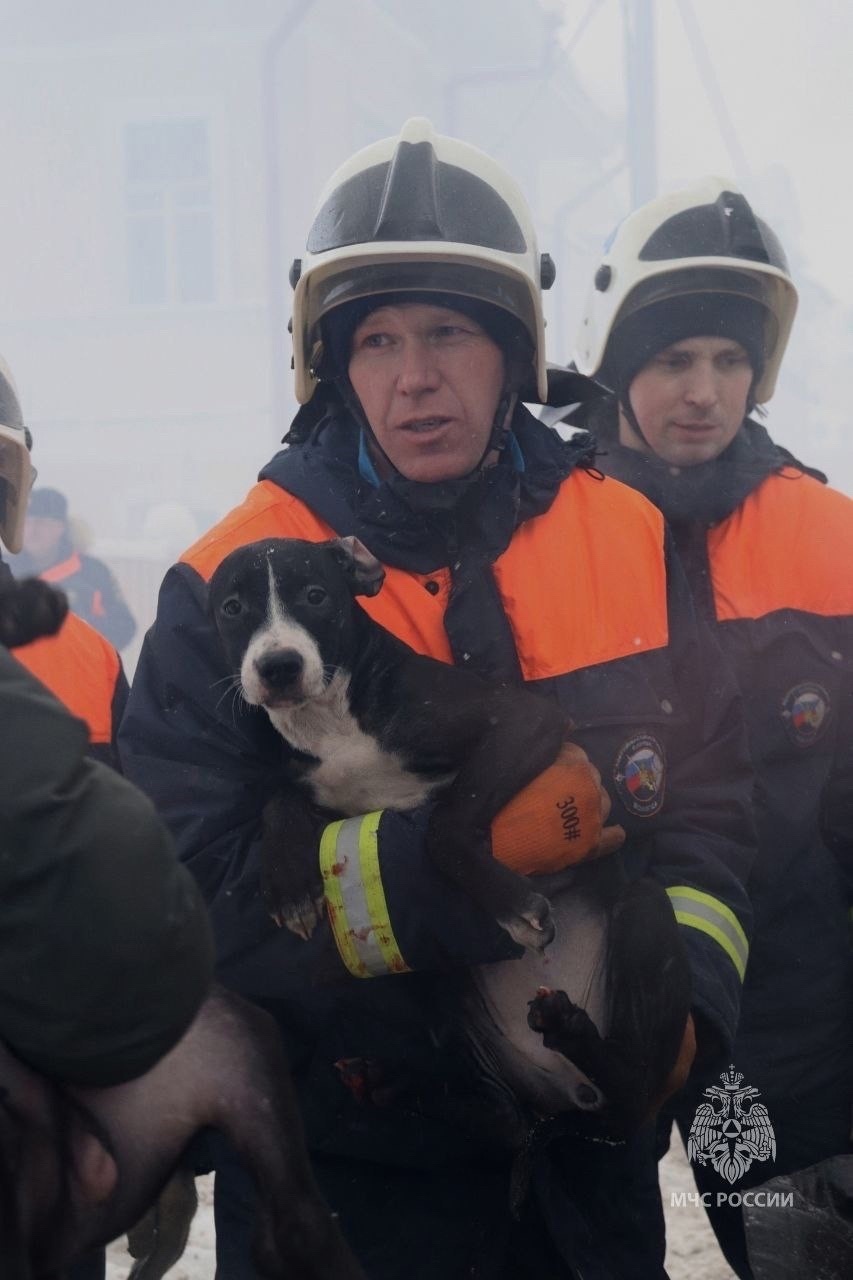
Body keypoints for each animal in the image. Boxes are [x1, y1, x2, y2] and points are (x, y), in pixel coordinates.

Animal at [208, 537, 686, 1141]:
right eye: (232, 608)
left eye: (316, 595)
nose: (279, 666)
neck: (332, 721)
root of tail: (559, 1094)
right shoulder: (310, 784)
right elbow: (278, 802)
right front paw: (288, 884)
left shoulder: (521, 721)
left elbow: (445, 825)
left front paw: (512, 905)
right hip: (419, 978)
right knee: (493, 1108)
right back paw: (394, 1083)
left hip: (644, 915)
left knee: (632, 1093)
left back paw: (572, 1034)